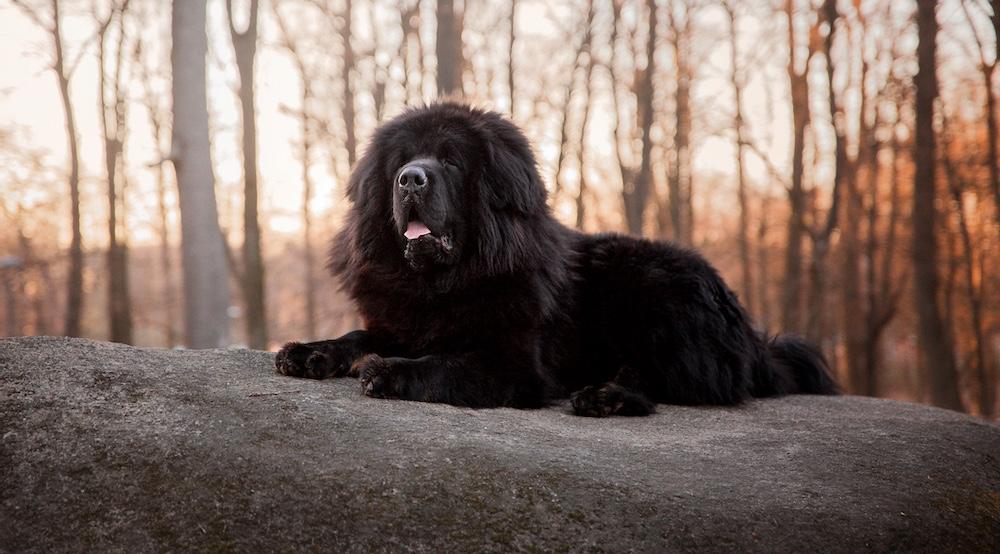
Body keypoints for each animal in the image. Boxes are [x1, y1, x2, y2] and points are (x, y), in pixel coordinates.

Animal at [276, 102, 836, 414]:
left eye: (451, 161)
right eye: (401, 161)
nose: (410, 179)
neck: (442, 283)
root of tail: (752, 336)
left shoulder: (514, 364)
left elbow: (443, 364)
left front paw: (389, 372)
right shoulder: (399, 320)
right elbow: (357, 335)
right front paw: (310, 353)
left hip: (654, 287)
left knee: (670, 379)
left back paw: (605, 398)